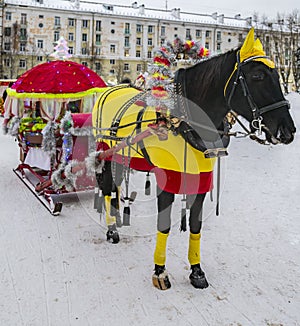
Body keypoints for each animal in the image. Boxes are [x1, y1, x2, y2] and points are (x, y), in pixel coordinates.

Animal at [92, 29, 296, 290]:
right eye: (257, 76)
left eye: (277, 75)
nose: (288, 130)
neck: (184, 123)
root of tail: (110, 89)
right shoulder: (167, 181)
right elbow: (164, 225)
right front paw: (160, 271)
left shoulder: (201, 180)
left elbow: (196, 225)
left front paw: (196, 270)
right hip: (106, 153)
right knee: (108, 189)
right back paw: (111, 229)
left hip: (121, 157)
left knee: (116, 189)